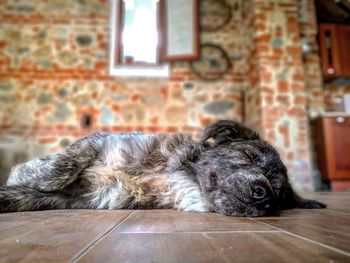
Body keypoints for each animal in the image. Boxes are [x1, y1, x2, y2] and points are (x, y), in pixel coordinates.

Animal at [0, 120, 326, 218]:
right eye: (248, 155)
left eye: (278, 194)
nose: (263, 194)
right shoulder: (99, 142)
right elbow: (62, 165)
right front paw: (22, 172)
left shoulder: (87, 197)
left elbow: (31, 197)